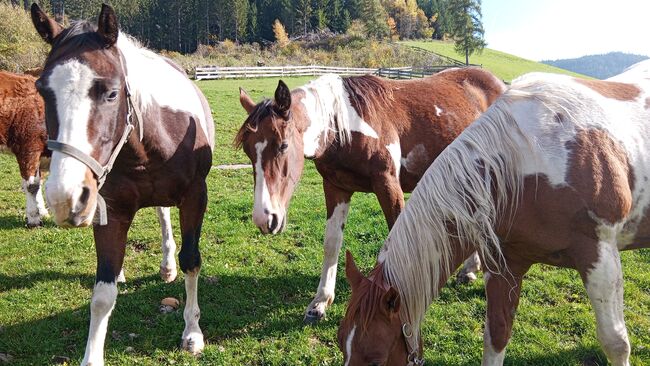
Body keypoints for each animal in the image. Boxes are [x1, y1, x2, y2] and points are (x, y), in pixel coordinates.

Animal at [31, 4, 213, 364]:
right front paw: (92, 356)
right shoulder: (112, 210)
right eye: (43, 91)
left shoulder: (195, 197)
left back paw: (167, 267)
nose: (63, 198)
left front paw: (192, 333)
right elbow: (103, 292)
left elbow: (191, 260)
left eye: (111, 93)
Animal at [235, 67, 504, 322]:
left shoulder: (388, 184)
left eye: (283, 145)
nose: (265, 219)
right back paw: (470, 268)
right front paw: (320, 302)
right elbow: (331, 243)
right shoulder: (336, 188)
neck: (344, 127)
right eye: (248, 151)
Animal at [334, 61, 648, 364]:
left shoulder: (600, 259)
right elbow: (496, 335)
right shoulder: (505, 265)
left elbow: (615, 343)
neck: (528, 161)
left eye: (375, 359)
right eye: (340, 343)